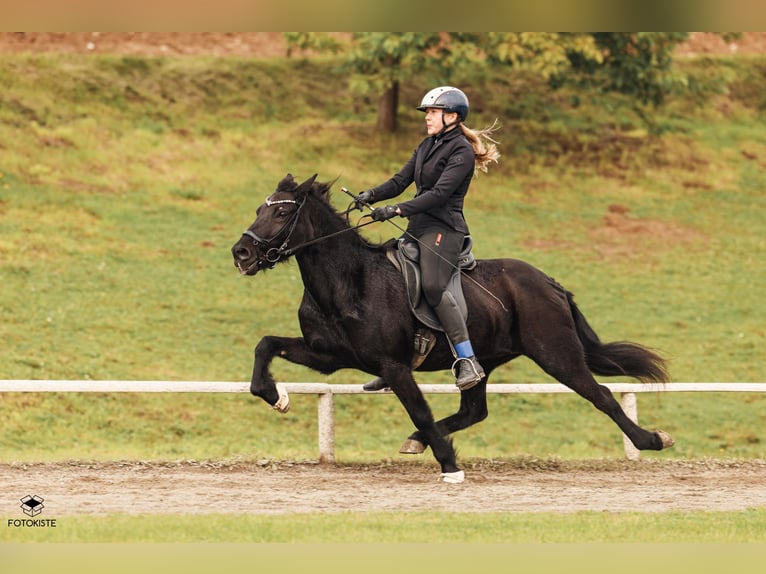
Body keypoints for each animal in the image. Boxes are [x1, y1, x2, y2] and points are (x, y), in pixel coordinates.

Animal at [230, 173, 674, 483]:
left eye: (282, 212)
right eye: (258, 210)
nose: (242, 253)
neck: (350, 280)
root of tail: (549, 282)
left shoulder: (394, 366)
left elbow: (420, 409)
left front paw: (450, 466)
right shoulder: (327, 356)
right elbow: (265, 346)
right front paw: (276, 396)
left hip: (556, 354)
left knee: (601, 395)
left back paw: (651, 439)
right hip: (485, 361)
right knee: (474, 410)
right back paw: (418, 441)